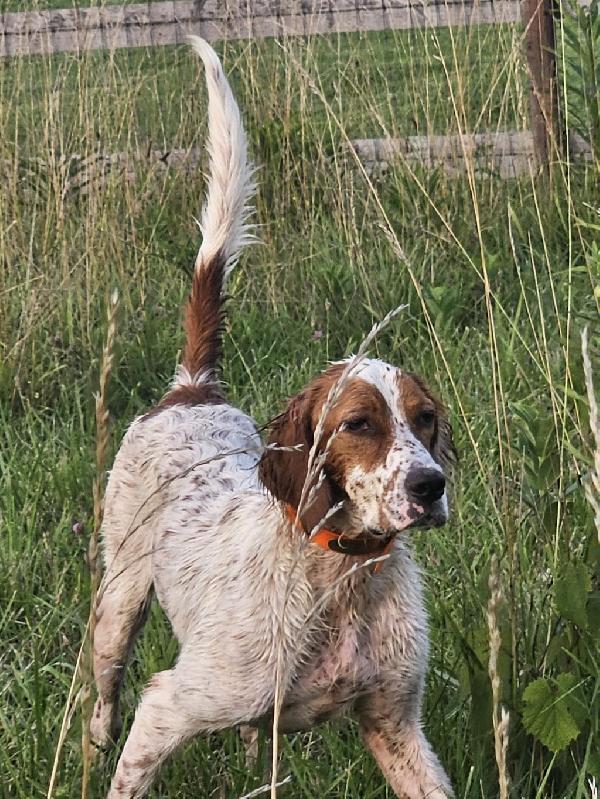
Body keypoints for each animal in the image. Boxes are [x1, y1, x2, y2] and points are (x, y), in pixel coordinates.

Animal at [92, 37, 454, 799]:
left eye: (424, 419)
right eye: (359, 424)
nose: (430, 486)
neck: (343, 581)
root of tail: (192, 389)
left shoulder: (397, 726)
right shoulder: (169, 704)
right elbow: (133, 762)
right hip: (119, 600)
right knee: (105, 688)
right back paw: (94, 738)